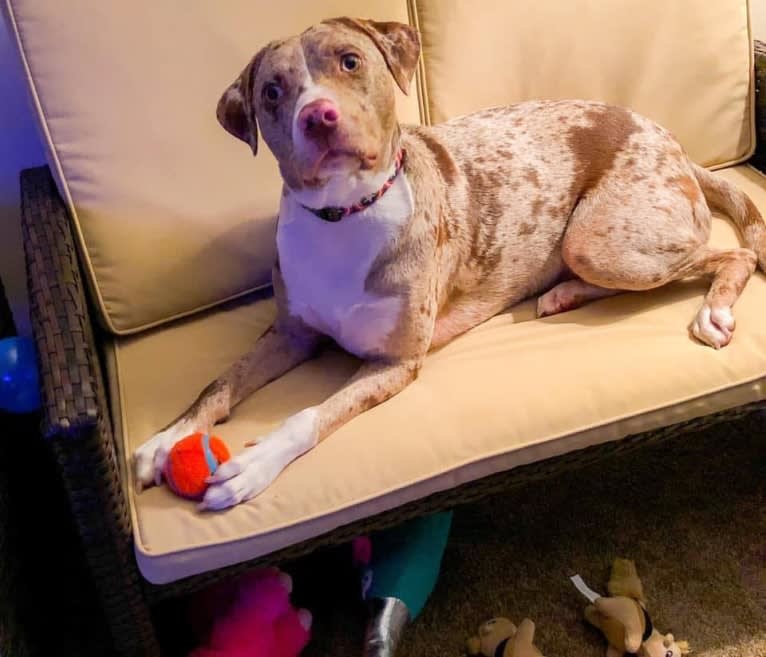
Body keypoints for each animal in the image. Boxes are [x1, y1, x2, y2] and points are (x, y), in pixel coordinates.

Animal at [135, 14, 766, 508]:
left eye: (349, 62)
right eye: (271, 91)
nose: (319, 117)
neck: (345, 214)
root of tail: (677, 146)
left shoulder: (395, 364)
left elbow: (309, 416)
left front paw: (254, 464)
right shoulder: (291, 333)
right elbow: (220, 382)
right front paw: (169, 439)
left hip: (598, 241)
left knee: (726, 253)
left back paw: (711, 310)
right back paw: (563, 293)